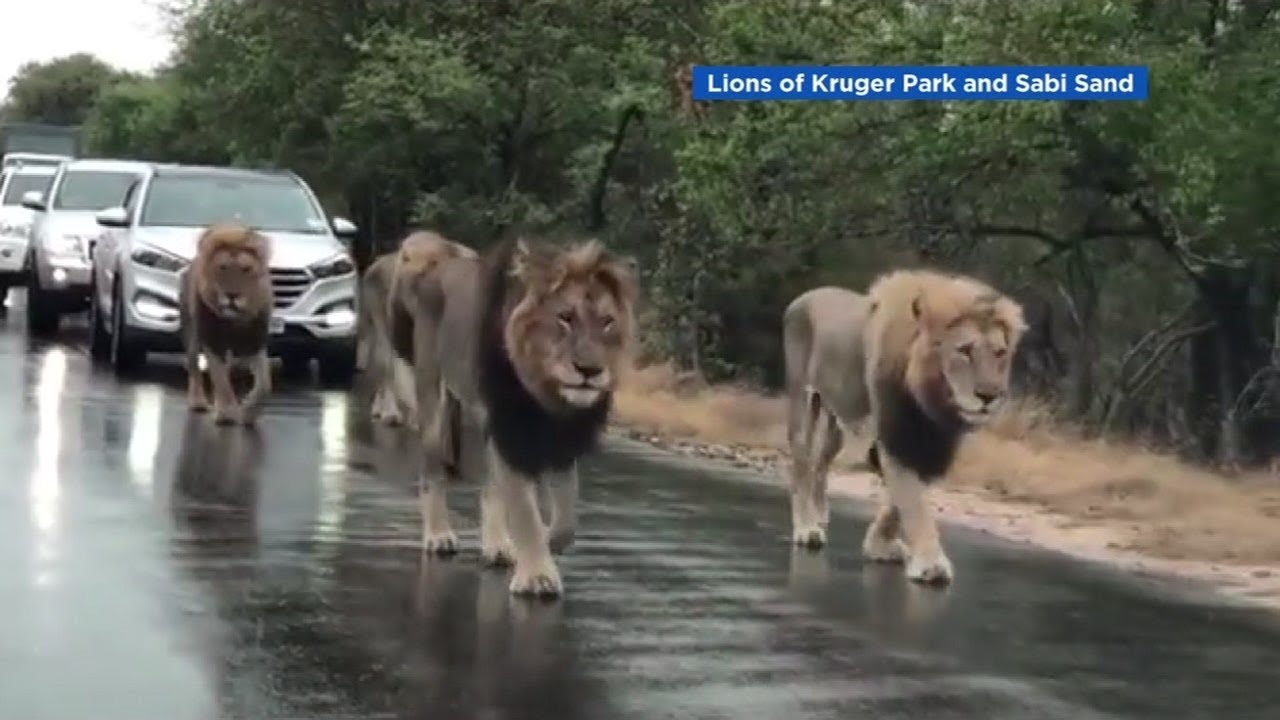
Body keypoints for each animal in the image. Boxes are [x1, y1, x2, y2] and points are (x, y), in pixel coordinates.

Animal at [179, 222, 274, 426]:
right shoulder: (213, 342)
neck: (235, 320)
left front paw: (248, 412)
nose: (232, 295)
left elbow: (265, 384)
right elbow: (221, 379)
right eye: (222, 268)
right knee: (194, 368)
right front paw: (226, 413)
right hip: (192, 336)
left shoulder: (254, 343)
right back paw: (198, 402)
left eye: (246, 269)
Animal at [405, 236, 637, 598]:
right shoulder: (510, 432)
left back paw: (498, 547)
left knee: (490, 488)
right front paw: (537, 576)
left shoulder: (559, 441)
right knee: (433, 473)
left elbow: (566, 517)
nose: (590, 370)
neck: (546, 394)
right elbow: (525, 512)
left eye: (607, 321)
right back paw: (439, 535)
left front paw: (545, 540)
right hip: (436, 399)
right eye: (565, 317)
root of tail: (439, 264)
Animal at [782, 269, 1026, 585]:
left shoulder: (933, 446)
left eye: (999, 352)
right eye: (964, 350)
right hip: (802, 400)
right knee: (801, 462)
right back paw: (807, 527)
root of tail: (805, 295)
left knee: (821, 462)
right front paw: (930, 563)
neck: (931, 403)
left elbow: (900, 504)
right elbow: (912, 502)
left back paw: (821, 512)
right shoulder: (894, 438)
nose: (989, 395)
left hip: (838, 417)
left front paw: (880, 545)